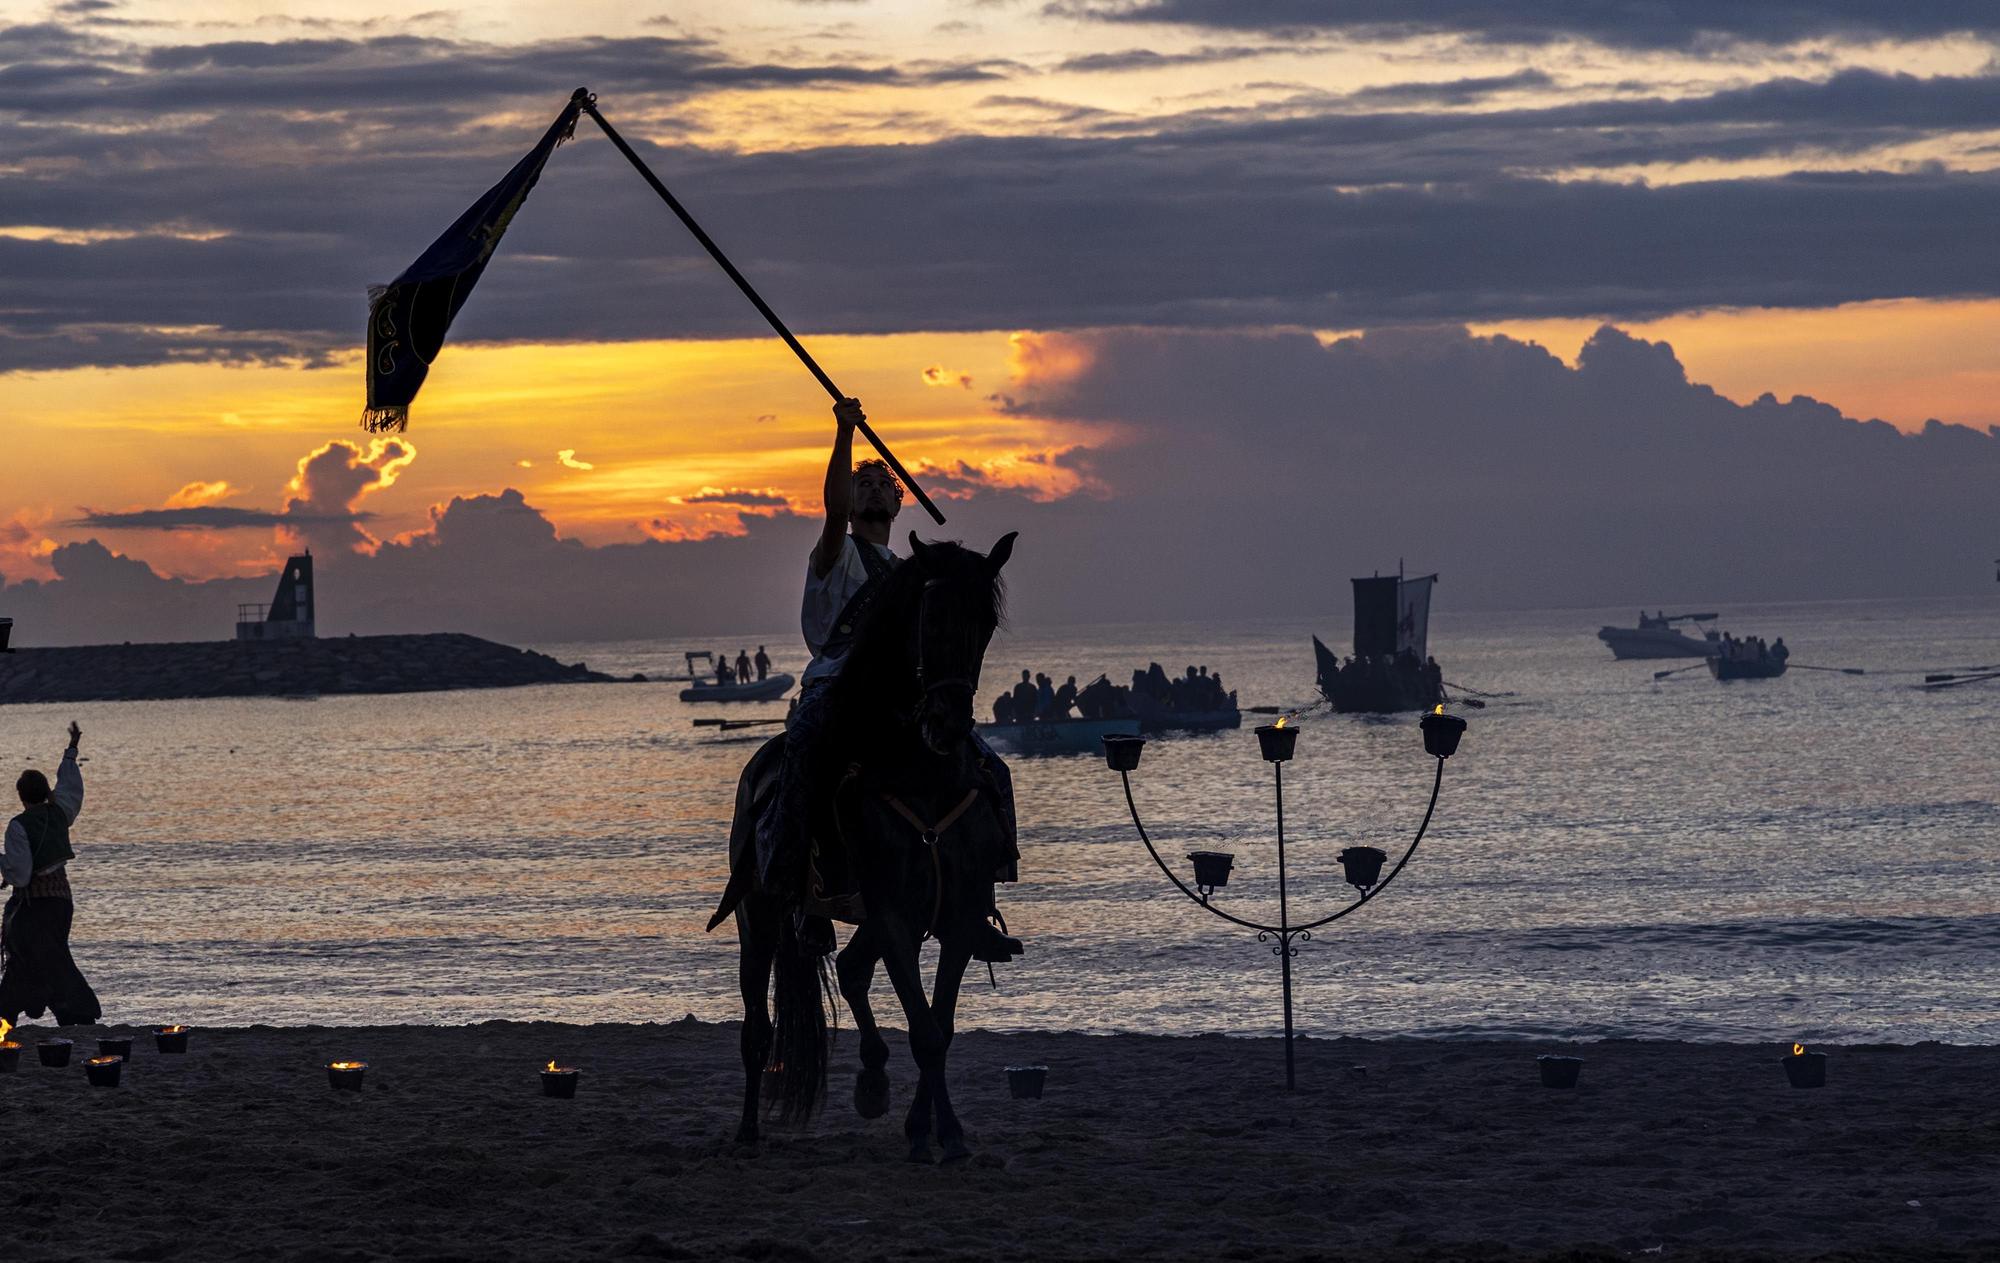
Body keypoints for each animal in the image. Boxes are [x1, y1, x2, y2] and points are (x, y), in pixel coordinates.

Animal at [712, 527, 1016, 1159]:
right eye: (929, 615)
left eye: (985, 622)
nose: (949, 725)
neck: (924, 777)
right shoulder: (895, 915)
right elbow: (925, 1031)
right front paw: (934, 1134)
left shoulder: (956, 915)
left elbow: (941, 1026)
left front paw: (937, 1130)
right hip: (759, 916)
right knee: (758, 1029)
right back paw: (749, 1130)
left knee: (852, 969)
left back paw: (874, 1079)